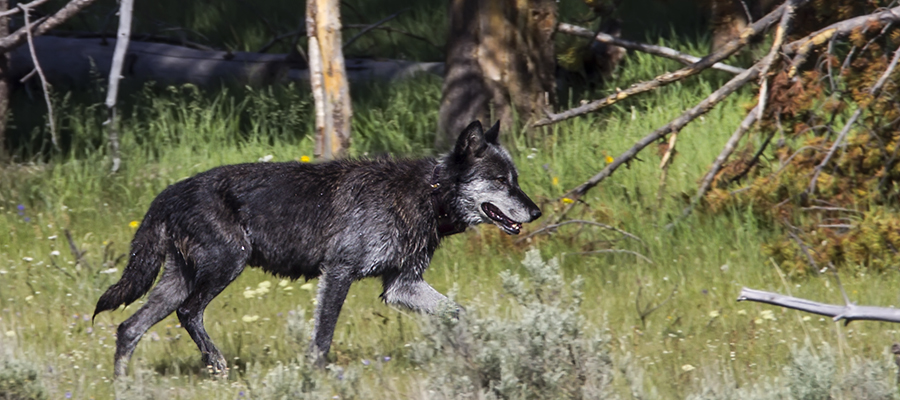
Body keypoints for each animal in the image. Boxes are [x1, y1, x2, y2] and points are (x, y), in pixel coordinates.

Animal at [93, 119, 540, 376]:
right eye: (500, 180)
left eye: (515, 178)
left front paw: (474, 351)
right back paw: (215, 364)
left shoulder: (401, 286)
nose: (535, 212)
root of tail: (166, 194)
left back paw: (124, 386)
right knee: (187, 313)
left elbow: (459, 313)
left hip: (179, 281)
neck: (428, 194)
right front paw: (317, 377)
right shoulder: (339, 272)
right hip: (225, 266)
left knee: (128, 328)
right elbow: (323, 338)